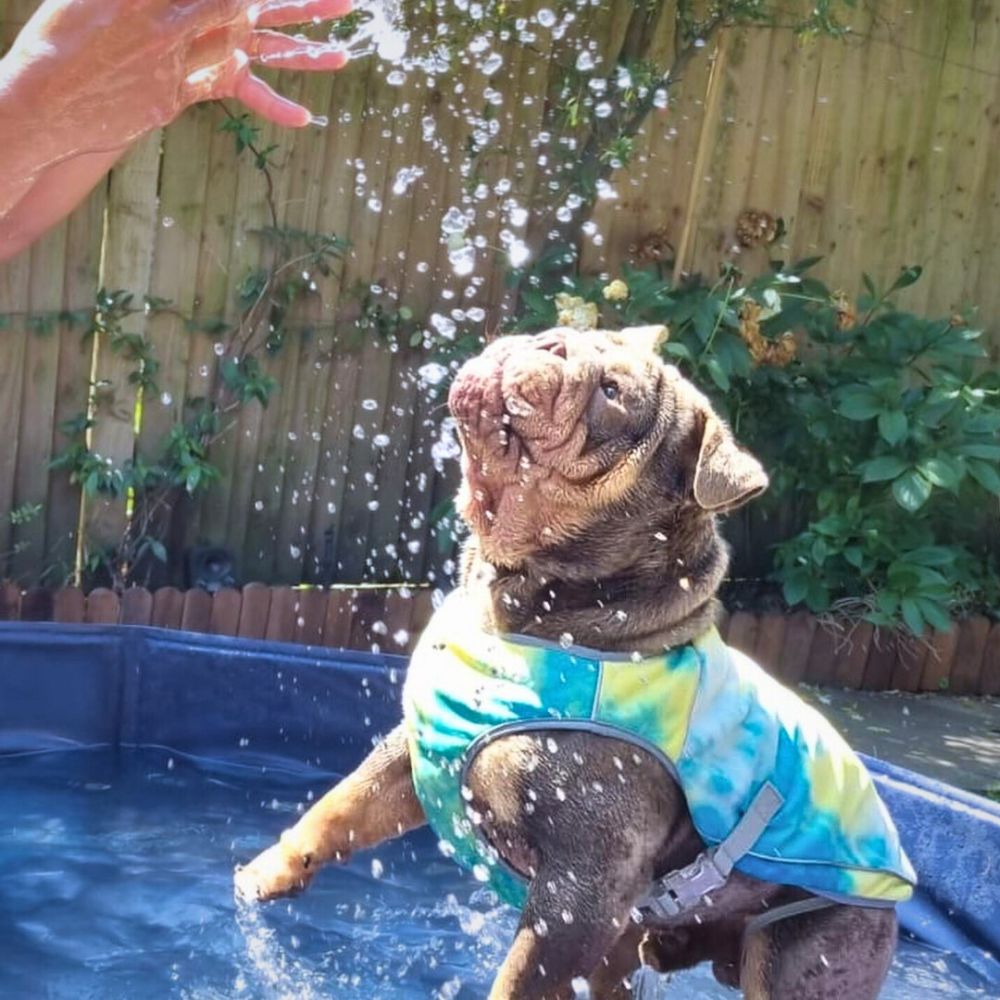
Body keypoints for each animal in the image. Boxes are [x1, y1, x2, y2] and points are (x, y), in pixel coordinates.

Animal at [236, 328, 900, 1000]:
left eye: (611, 393)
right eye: (580, 338)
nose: (553, 341)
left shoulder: (581, 892)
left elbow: (519, 980)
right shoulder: (411, 751)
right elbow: (341, 806)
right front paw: (269, 871)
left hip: (799, 950)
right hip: (631, 942)